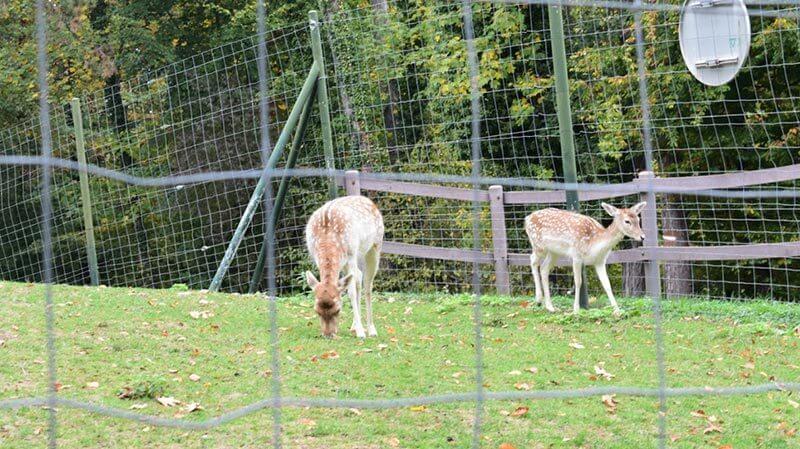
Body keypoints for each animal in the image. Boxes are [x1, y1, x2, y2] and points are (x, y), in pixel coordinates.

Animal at [304, 194, 384, 338]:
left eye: (338, 310)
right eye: (316, 311)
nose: (328, 335)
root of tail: (368, 200)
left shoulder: (351, 254)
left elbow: (350, 292)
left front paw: (360, 333)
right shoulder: (317, 258)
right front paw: (357, 328)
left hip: (375, 246)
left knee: (367, 283)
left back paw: (371, 329)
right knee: (358, 276)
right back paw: (354, 326)